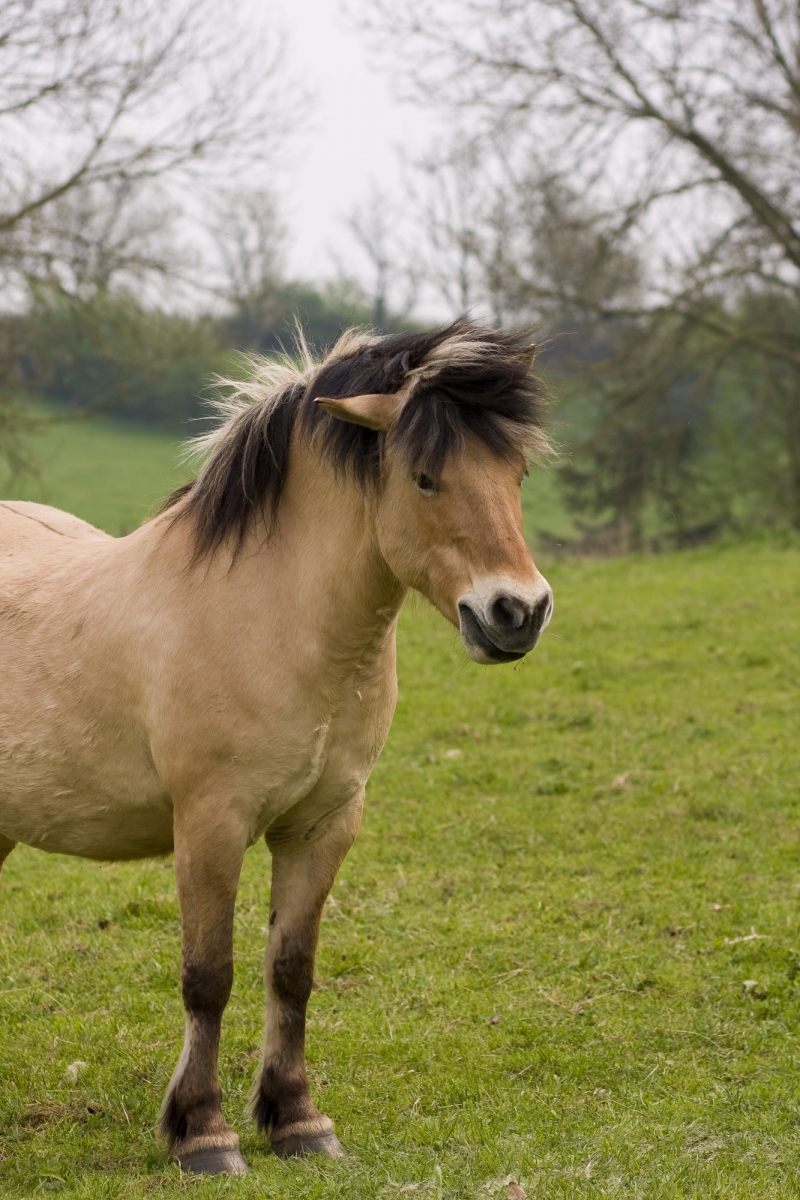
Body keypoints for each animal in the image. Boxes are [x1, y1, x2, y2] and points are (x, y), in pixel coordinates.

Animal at [0, 318, 553, 1176]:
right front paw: (204, 1132)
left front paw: (296, 1119)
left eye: (516, 471)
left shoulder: (323, 825)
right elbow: (209, 976)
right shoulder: (210, 825)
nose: (516, 612)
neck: (273, 618)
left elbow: (290, 971)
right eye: (425, 478)